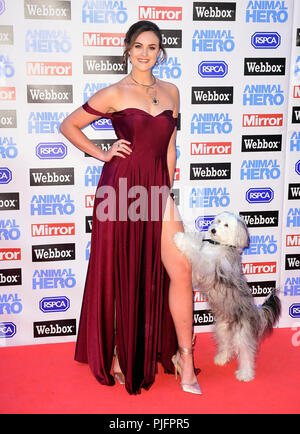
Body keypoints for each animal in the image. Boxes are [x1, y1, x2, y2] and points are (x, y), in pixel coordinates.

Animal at [173, 212, 282, 382]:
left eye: (226, 225)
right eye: (217, 221)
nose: (213, 230)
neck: (220, 245)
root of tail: (256, 314)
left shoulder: (207, 267)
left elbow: (197, 254)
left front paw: (180, 239)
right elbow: (197, 248)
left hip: (241, 335)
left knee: (246, 353)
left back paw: (245, 374)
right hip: (222, 329)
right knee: (226, 345)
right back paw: (222, 358)